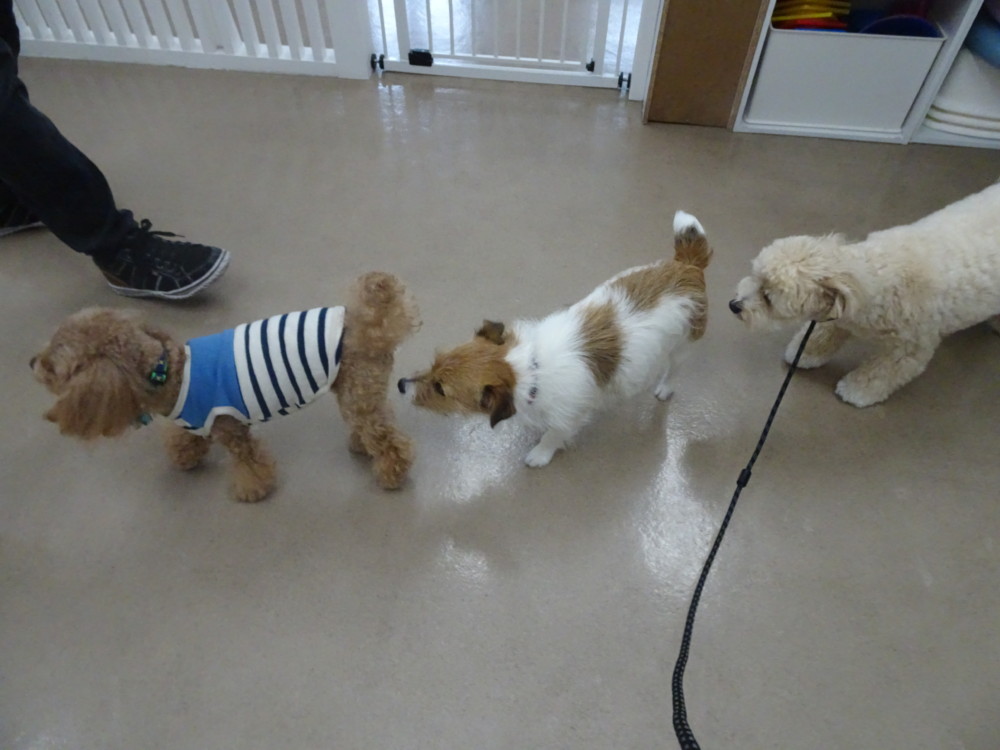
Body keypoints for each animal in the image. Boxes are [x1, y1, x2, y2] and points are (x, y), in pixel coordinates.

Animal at [31, 271, 420, 502]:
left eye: (54, 367)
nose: (31, 362)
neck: (167, 371)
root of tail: (367, 326)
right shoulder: (195, 419)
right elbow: (186, 439)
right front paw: (184, 457)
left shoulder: (230, 427)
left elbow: (249, 462)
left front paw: (252, 490)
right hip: (357, 391)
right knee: (377, 421)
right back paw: (362, 446)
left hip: (358, 394)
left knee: (389, 439)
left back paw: (391, 472)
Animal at [398, 211, 712, 467]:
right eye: (434, 362)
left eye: (440, 389)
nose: (400, 384)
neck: (528, 367)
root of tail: (688, 266)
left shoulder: (569, 415)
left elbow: (553, 434)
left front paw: (539, 454)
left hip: (683, 346)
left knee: (674, 370)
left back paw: (664, 388)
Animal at [729, 181, 1000, 407]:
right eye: (754, 275)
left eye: (768, 297)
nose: (733, 304)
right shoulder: (838, 316)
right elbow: (821, 334)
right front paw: (804, 353)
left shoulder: (911, 347)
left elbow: (881, 373)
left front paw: (857, 391)